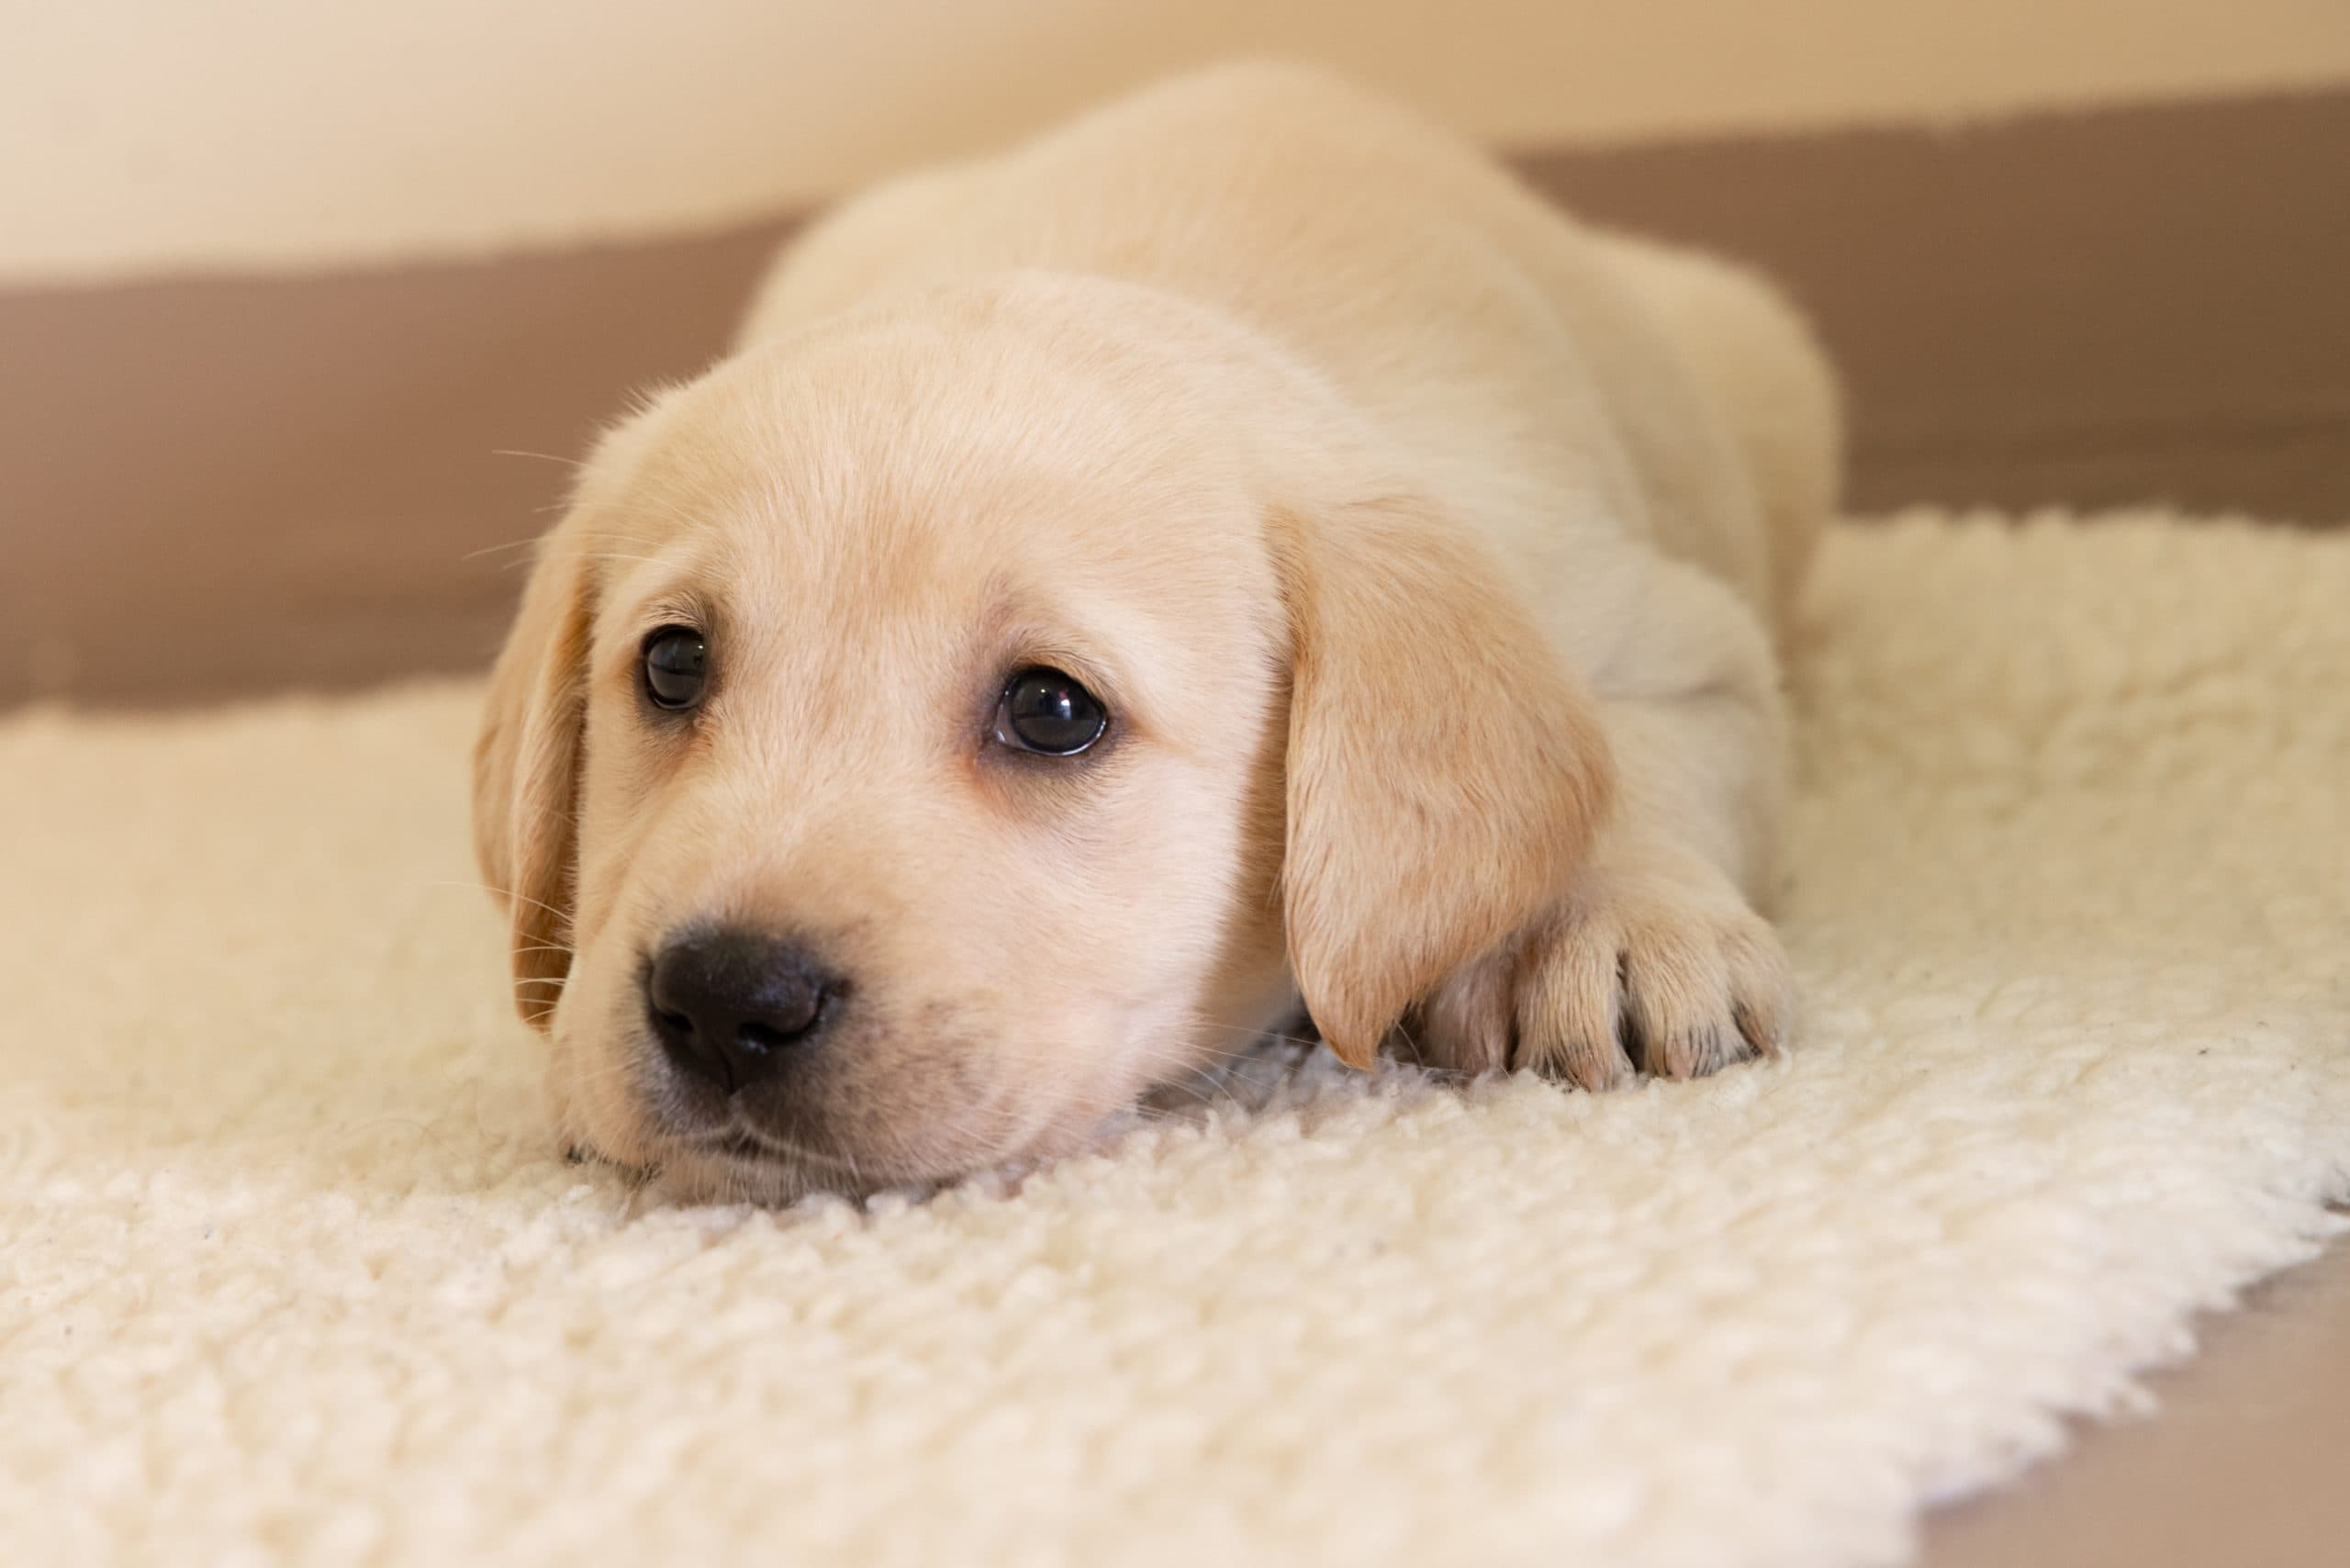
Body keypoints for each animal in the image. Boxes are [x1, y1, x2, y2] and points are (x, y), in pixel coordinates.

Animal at [472, 55, 1832, 1193]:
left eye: (1052, 710)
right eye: (672, 666)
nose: (722, 999)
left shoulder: (1677, 636)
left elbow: (1638, 755)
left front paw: (1618, 928)